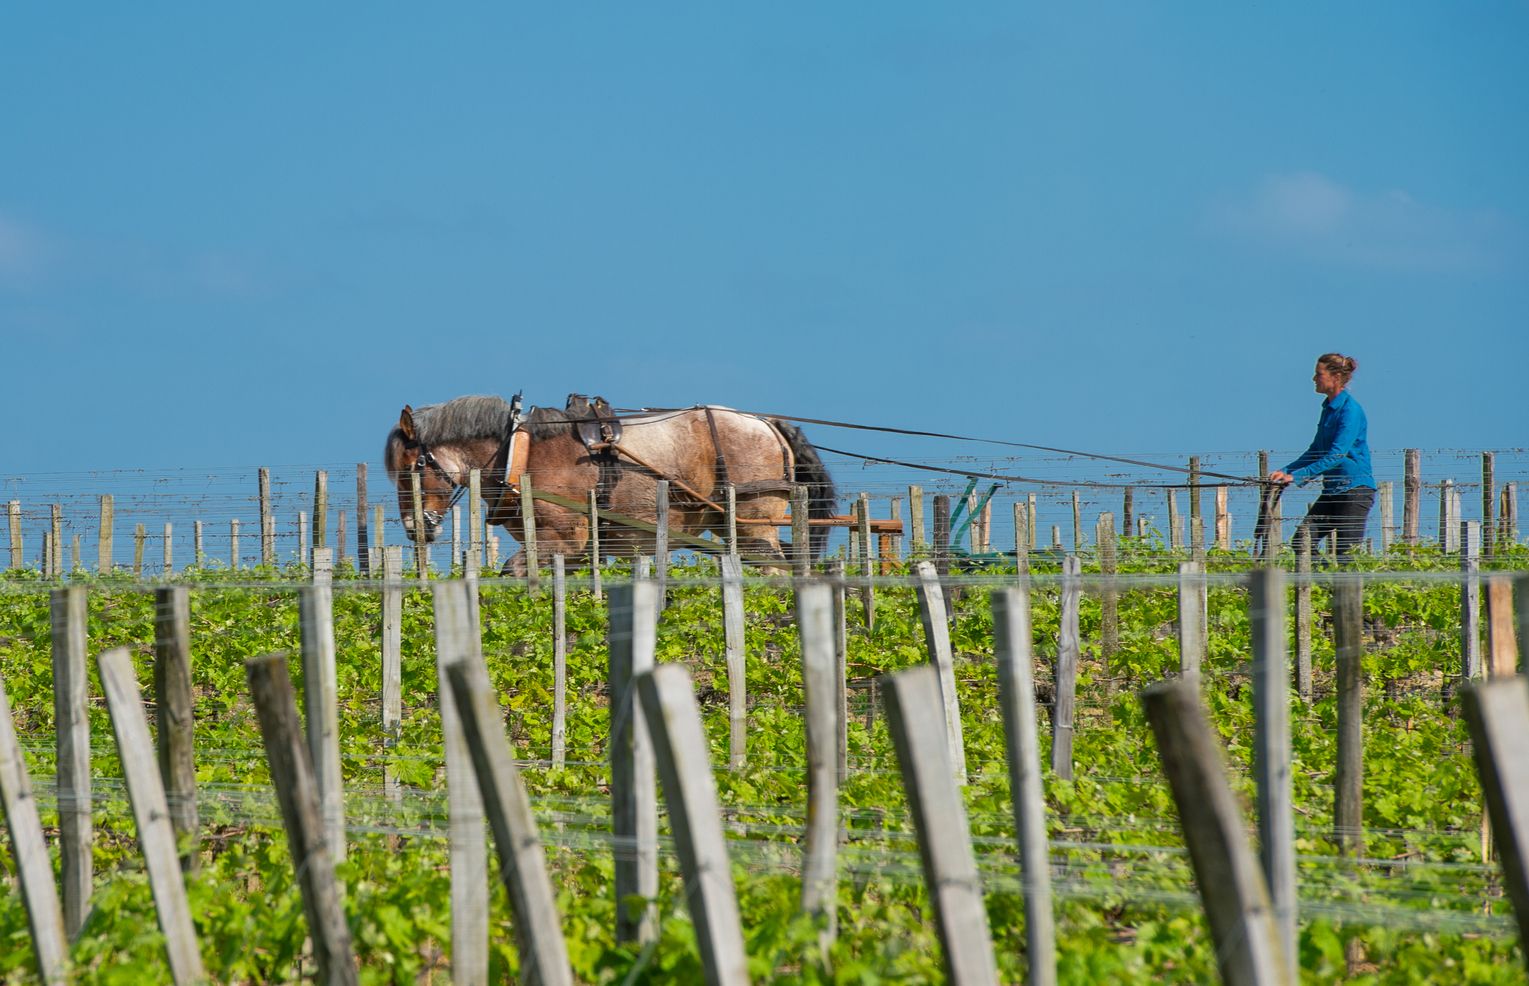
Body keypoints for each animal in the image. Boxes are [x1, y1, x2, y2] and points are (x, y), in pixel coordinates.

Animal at [382, 394, 837, 568]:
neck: (519, 454)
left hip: (753, 523)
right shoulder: (577, 553)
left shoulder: (562, 539)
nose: (415, 528)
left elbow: (514, 572)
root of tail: (767, 424)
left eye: (413, 468)